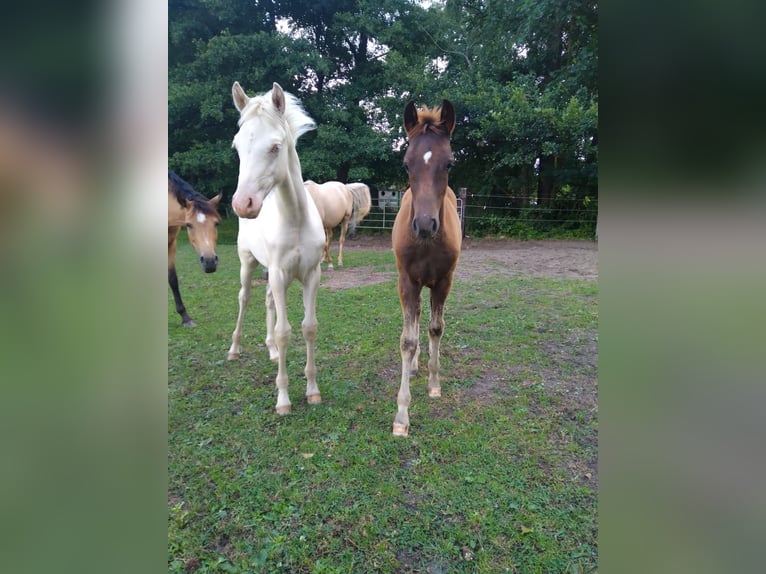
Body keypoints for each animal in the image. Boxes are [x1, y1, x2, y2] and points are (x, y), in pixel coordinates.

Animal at [168, 169, 222, 326]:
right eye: (189, 225)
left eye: (216, 223)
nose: (209, 262)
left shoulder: (171, 245)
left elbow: (173, 280)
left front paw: (185, 317)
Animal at [225, 82, 328, 414]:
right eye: (237, 147)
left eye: (275, 147)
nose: (242, 204)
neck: (295, 219)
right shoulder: (281, 274)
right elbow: (285, 333)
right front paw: (283, 399)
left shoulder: (311, 275)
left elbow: (310, 327)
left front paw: (312, 390)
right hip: (249, 263)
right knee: (245, 297)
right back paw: (235, 349)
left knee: (268, 300)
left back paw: (270, 351)